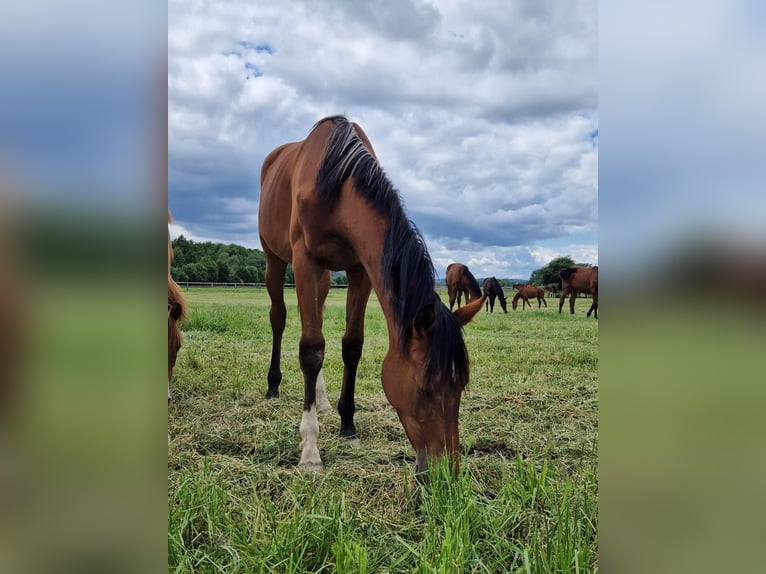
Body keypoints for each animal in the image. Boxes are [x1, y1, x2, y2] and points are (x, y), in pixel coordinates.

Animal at [258, 115, 486, 474]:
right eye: (425, 388)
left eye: (460, 385)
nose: (446, 473)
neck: (335, 183)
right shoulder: (305, 261)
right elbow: (311, 349)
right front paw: (310, 450)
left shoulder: (359, 270)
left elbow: (351, 345)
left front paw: (347, 425)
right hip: (275, 259)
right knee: (278, 319)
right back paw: (273, 384)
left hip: (323, 277)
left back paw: (321, 399)